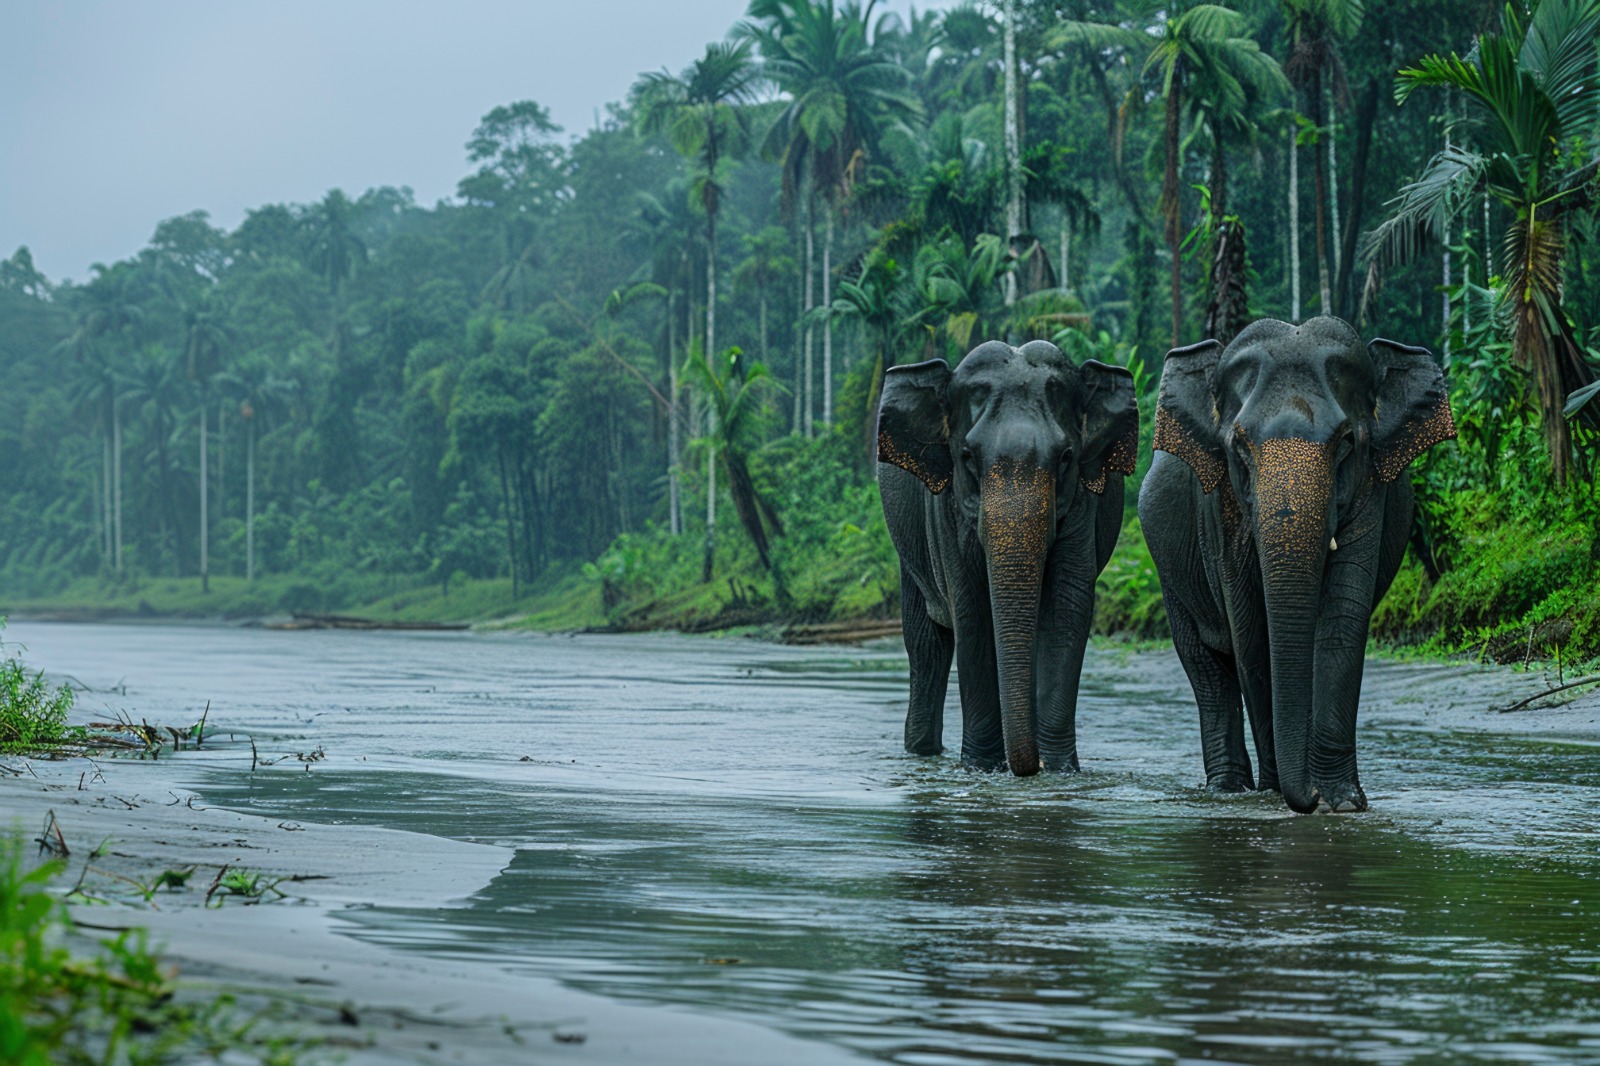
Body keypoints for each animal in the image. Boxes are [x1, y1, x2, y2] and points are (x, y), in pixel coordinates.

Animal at [877, 339, 1139, 776]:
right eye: (967, 456)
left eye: (1066, 457)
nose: (1030, 767)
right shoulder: (945, 510)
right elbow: (972, 612)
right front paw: (981, 767)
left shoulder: (1083, 504)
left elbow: (1065, 610)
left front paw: (1060, 769)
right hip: (908, 545)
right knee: (926, 645)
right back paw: (922, 752)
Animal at [1138, 316, 1455, 813]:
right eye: (1239, 445)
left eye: (1347, 443)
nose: (1307, 796)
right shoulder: (1221, 509)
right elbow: (1253, 637)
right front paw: (1282, 793)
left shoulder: (1372, 490)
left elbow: (1342, 620)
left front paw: (1341, 802)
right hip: (1169, 571)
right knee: (1205, 666)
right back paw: (1230, 788)